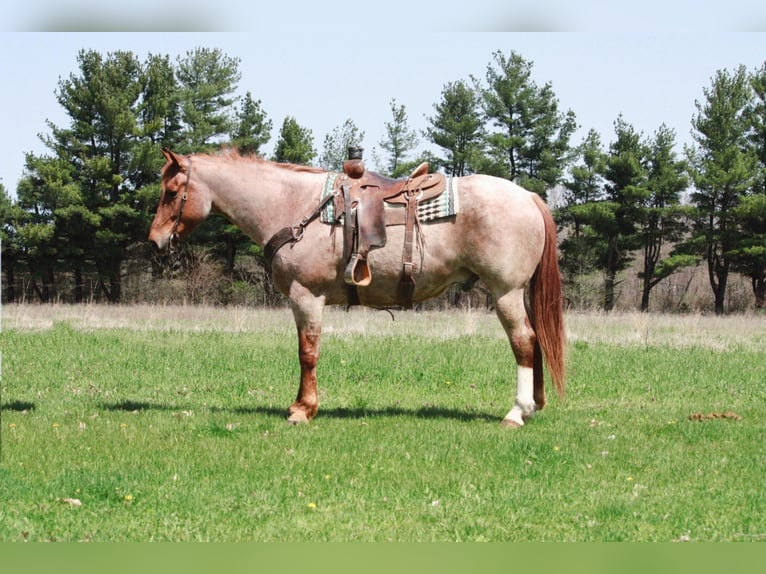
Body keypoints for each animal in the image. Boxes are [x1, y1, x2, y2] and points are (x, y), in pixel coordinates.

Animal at [150, 148, 568, 428]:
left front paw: (302, 410)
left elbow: (307, 353)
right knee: (535, 340)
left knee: (523, 342)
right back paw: (535, 404)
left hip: (505, 293)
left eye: (171, 192)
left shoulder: (306, 297)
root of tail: (528, 197)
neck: (291, 205)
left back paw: (517, 412)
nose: (154, 241)